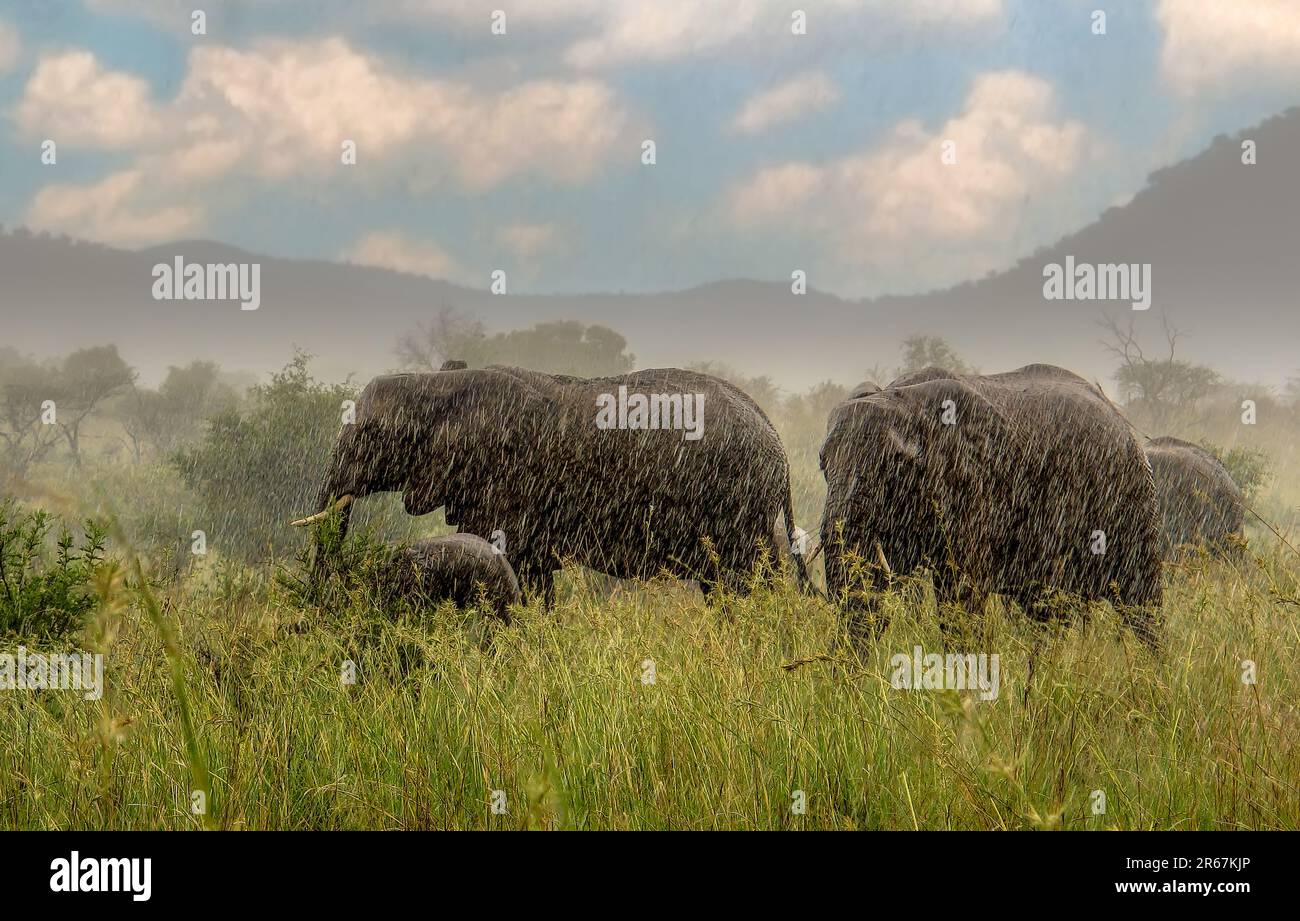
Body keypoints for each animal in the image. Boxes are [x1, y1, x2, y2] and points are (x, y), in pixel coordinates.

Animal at [293, 363, 811, 604]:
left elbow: (513, 563)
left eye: (371, 434)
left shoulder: (508, 477)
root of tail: (777, 441)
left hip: (737, 501)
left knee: (743, 581)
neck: (441, 385)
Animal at [819, 363, 1163, 647]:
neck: (900, 399)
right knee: (1044, 608)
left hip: (1132, 496)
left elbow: (961, 593)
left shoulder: (972, 485)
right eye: (823, 464)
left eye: (891, 465)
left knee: (1141, 601)